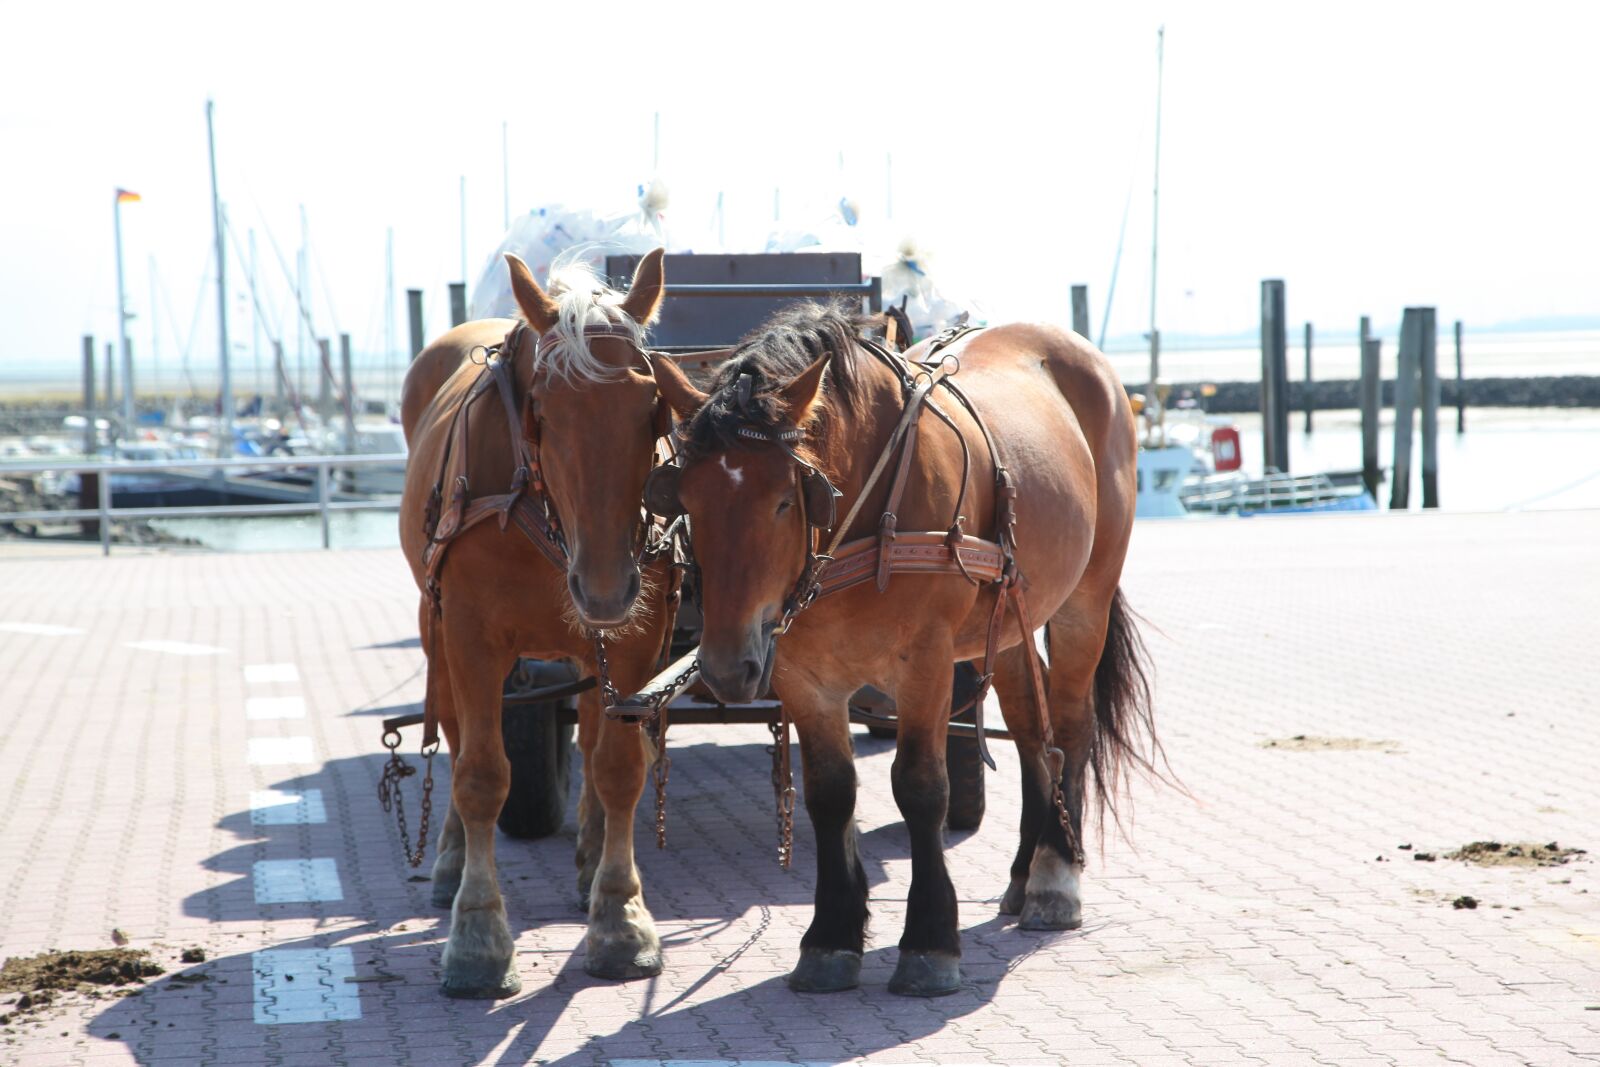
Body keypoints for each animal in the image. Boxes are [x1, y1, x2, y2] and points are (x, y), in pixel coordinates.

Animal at [397, 249, 678, 998]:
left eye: (653, 405)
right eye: (544, 410)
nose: (606, 586)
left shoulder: (635, 639)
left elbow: (618, 768)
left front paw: (621, 917)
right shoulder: (470, 637)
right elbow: (480, 775)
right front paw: (477, 936)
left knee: (594, 738)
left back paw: (590, 858)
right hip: (437, 623)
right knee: (454, 732)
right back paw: (450, 862)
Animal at [648, 303, 1160, 996]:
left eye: (783, 500)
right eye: (687, 502)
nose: (727, 669)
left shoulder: (927, 660)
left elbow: (920, 787)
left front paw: (929, 941)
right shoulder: (801, 675)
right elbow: (829, 793)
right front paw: (832, 936)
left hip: (1086, 596)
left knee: (1072, 725)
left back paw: (1055, 877)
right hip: (1008, 622)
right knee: (1033, 731)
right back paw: (1023, 874)